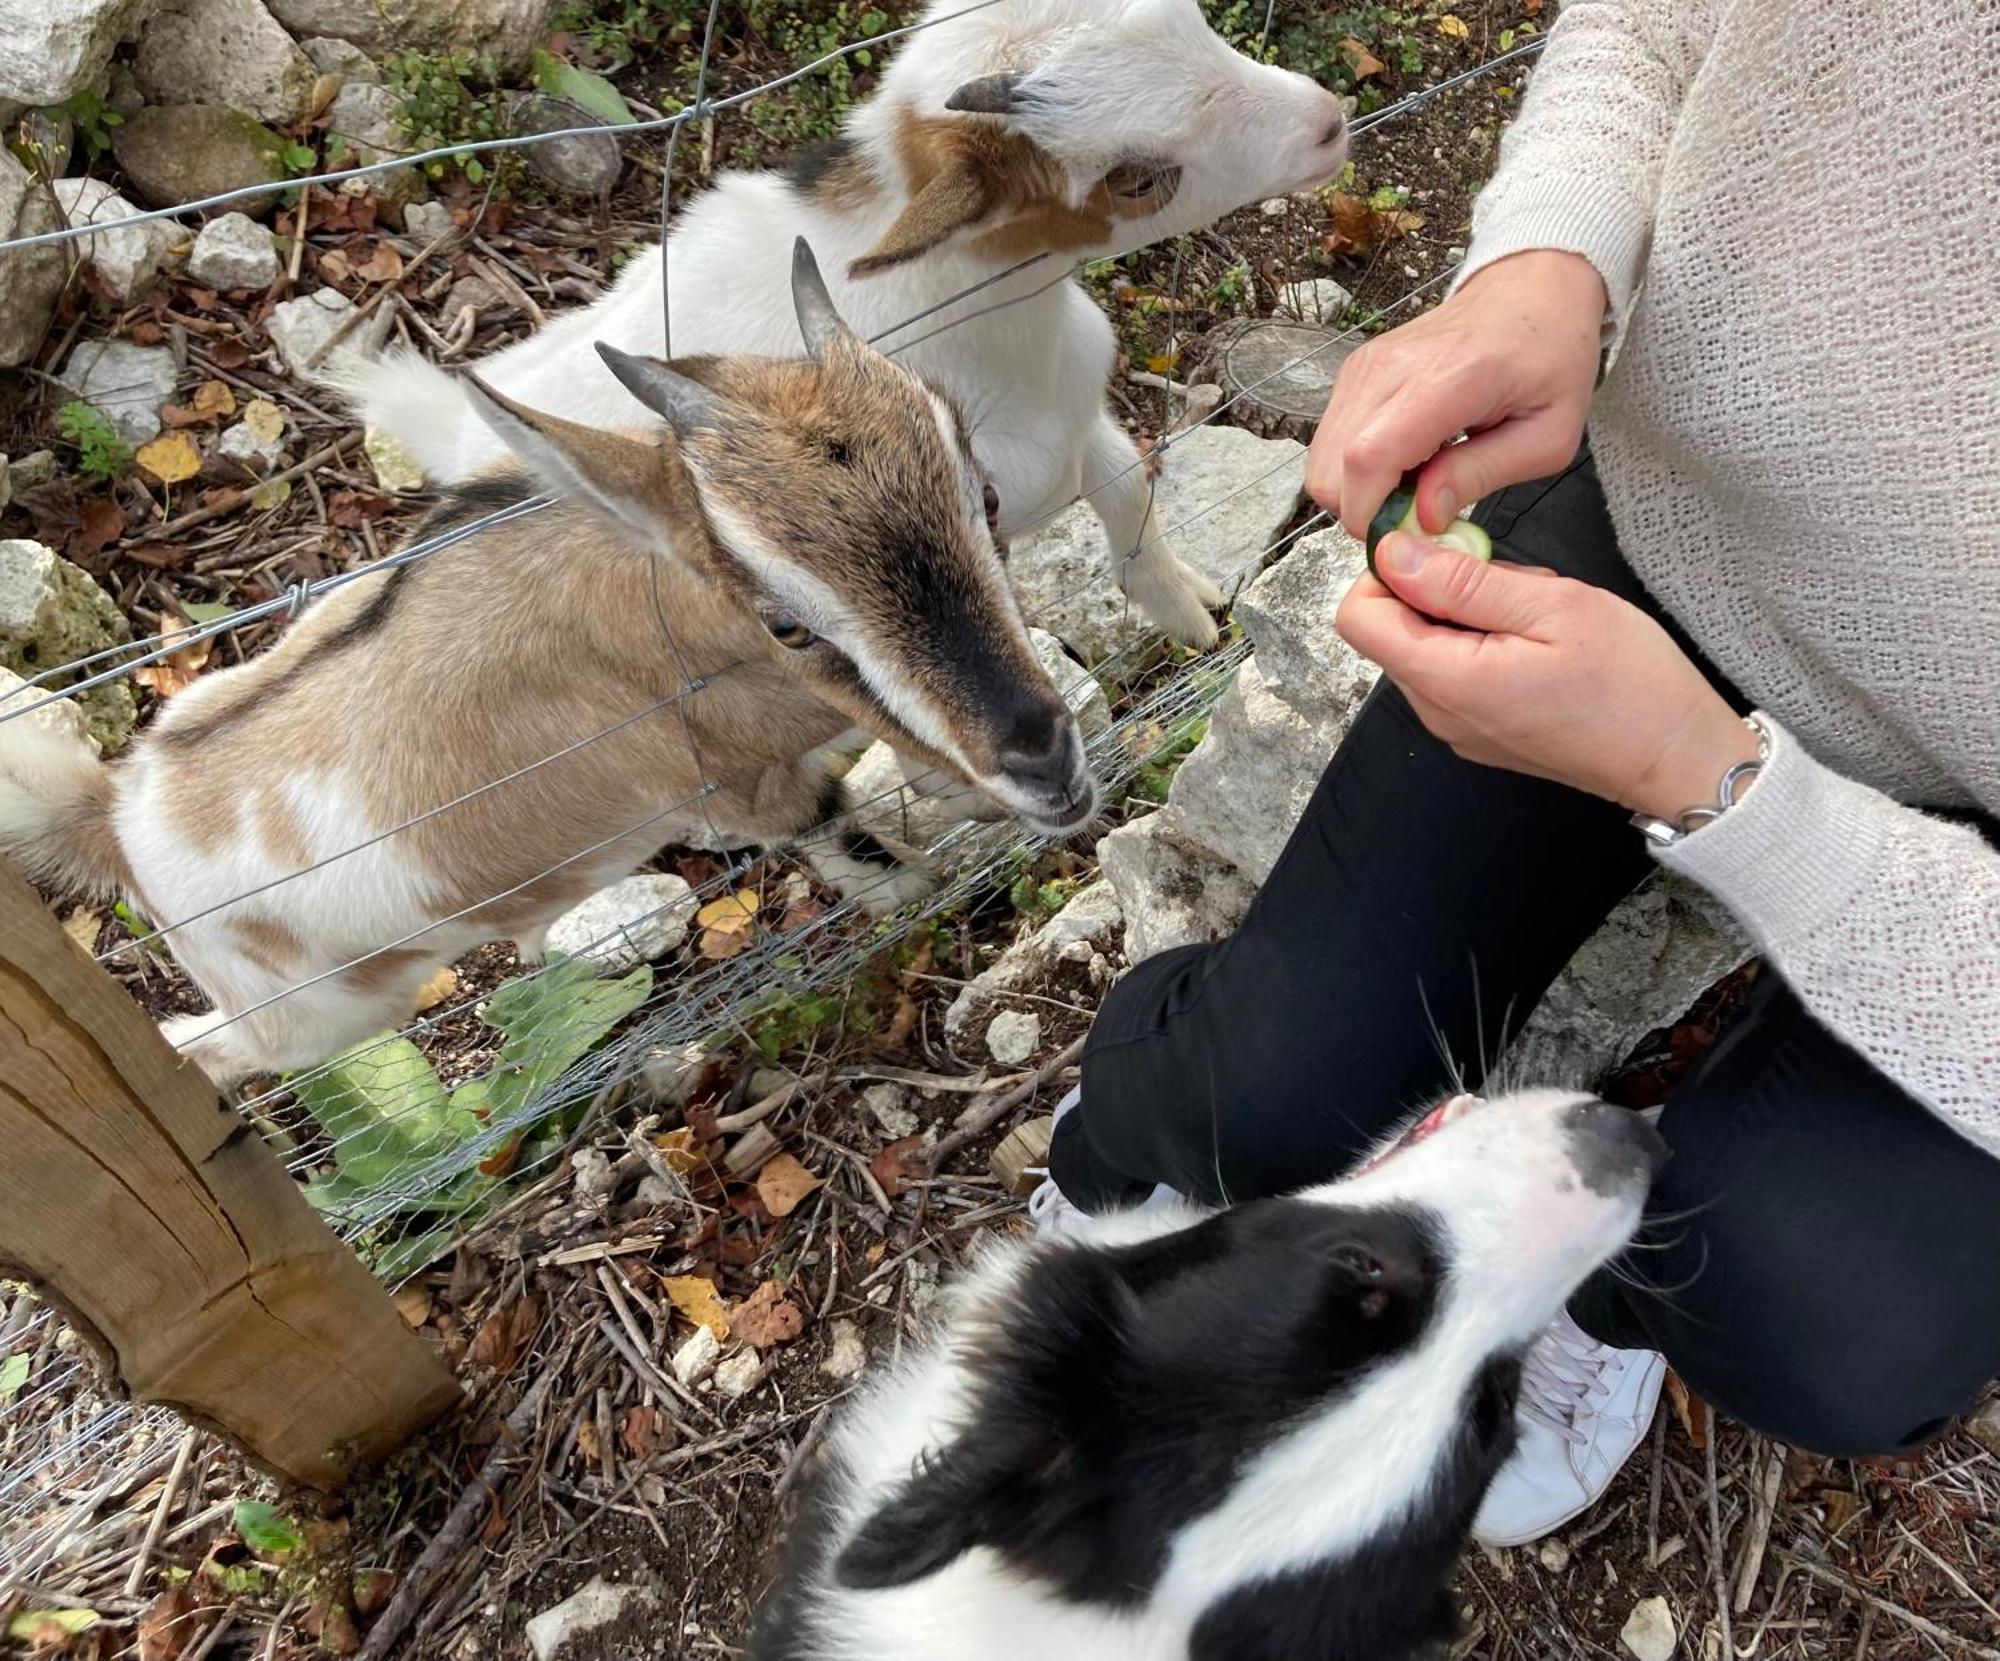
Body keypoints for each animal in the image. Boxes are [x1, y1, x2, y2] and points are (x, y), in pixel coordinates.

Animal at [0, 240, 1096, 1088]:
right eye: (783, 621)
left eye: (984, 496)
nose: (1044, 756)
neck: (655, 620)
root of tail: (116, 817)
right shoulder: (753, 792)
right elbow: (865, 856)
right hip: (310, 1016)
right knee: (210, 1046)